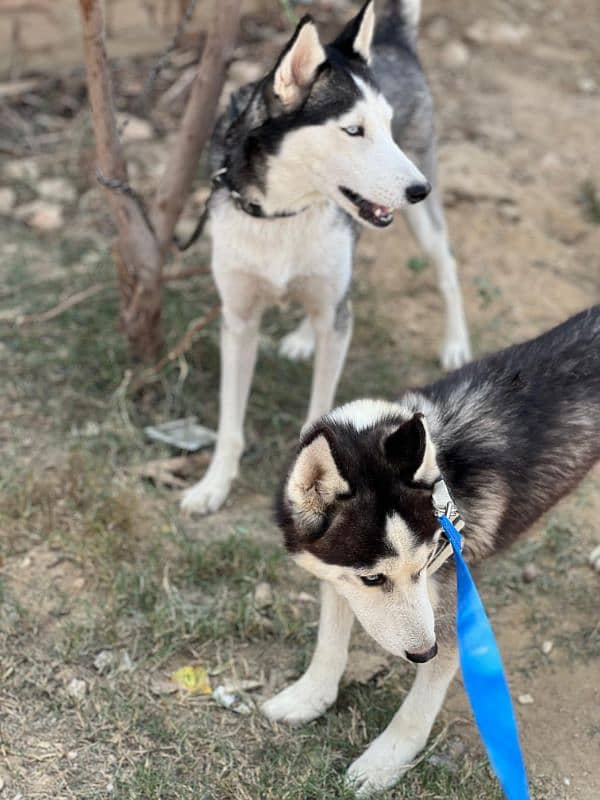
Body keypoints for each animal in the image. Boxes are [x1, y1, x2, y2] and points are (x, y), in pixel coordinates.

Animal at [180, 0, 472, 512]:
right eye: (353, 130)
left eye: (387, 126)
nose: (419, 189)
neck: (283, 212)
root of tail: (393, 39)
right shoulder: (238, 320)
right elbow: (229, 425)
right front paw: (213, 486)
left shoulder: (335, 312)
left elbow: (320, 418)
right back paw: (303, 336)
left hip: (423, 225)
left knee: (446, 270)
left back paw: (455, 341)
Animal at [264, 304, 596, 792]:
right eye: (372, 577)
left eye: (424, 565)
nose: (423, 652)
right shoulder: (340, 578)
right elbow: (329, 641)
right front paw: (310, 696)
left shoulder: (453, 606)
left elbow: (422, 699)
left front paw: (386, 759)